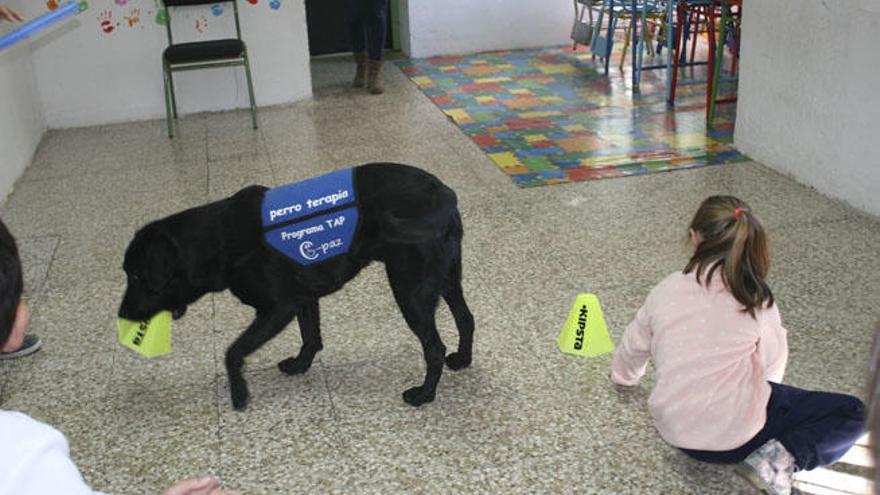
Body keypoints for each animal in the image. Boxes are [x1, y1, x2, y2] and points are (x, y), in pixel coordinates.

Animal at [120, 163, 474, 410]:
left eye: (136, 277)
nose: (122, 314)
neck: (219, 239)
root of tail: (446, 197)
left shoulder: (278, 309)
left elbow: (232, 352)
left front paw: (239, 393)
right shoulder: (303, 297)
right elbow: (311, 337)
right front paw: (301, 365)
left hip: (410, 289)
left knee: (434, 348)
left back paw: (424, 394)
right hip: (447, 279)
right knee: (466, 319)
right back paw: (462, 360)